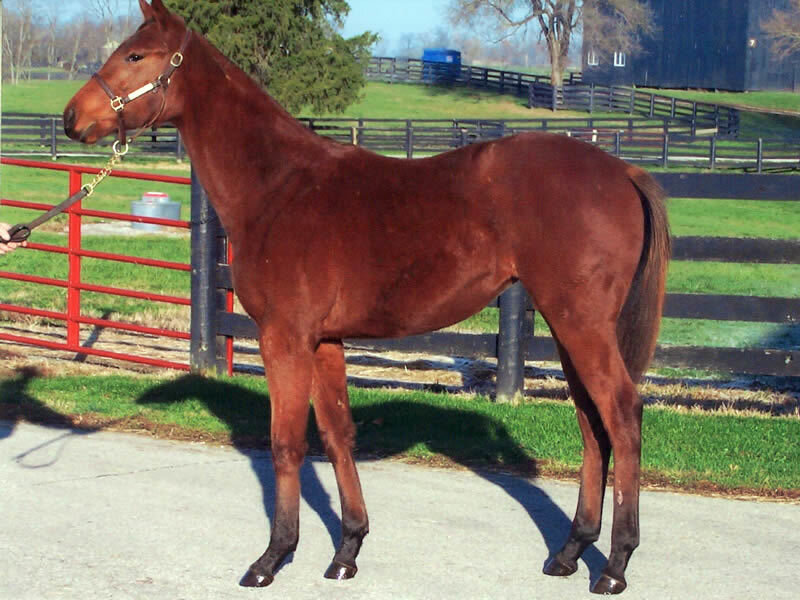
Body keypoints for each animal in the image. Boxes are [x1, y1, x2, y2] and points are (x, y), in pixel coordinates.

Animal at [63, 0, 670, 594]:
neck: (278, 186)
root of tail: (623, 170)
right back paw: (569, 553)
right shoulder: (325, 340)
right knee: (592, 425)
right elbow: (337, 435)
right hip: (570, 329)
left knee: (622, 414)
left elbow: (286, 442)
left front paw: (273, 557)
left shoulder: (284, 338)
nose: (72, 118)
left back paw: (615, 565)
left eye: (136, 55)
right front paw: (346, 551)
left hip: (582, 325)